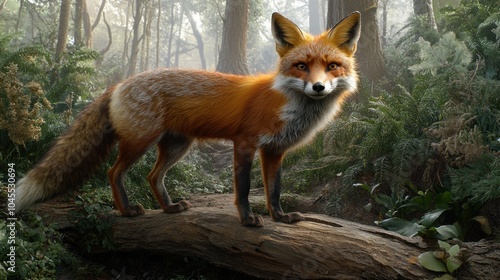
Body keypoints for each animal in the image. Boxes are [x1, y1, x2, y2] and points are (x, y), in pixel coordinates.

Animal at [14, 12, 360, 225]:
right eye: (301, 66)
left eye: (332, 66)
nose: (318, 87)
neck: (289, 106)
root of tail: (120, 83)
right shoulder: (245, 144)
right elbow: (244, 188)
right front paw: (247, 220)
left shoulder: (274, 151)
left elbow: (273, 189)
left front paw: (280, 217)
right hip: (140, 142)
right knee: (115, 173)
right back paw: (127, 210)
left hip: (177, 146)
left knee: (153, 176)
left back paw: (168, 208)